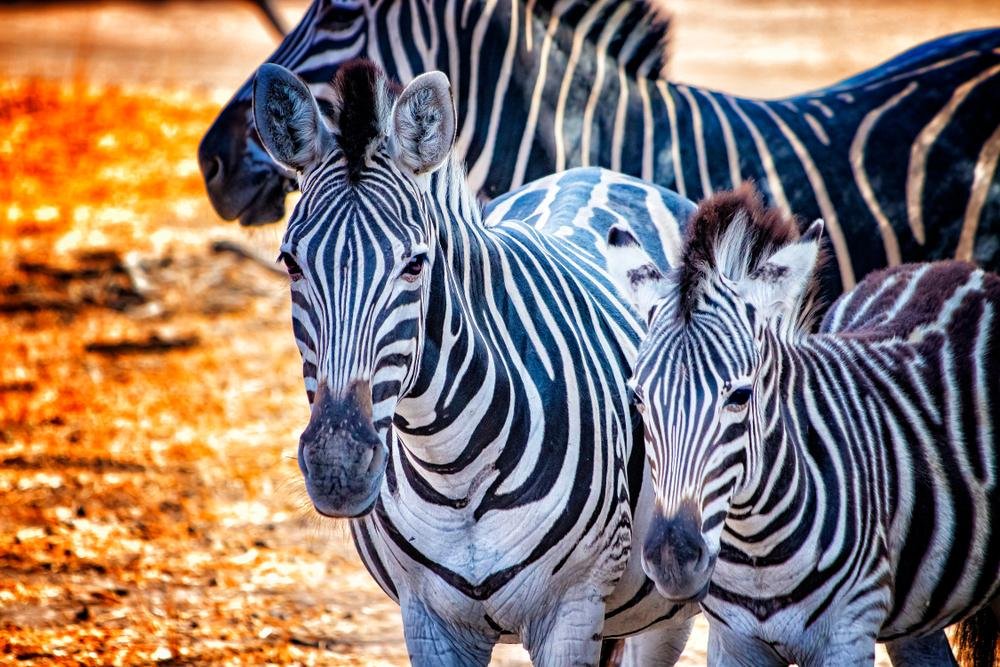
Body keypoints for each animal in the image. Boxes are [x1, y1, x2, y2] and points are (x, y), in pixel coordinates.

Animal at [250, 60, 704, 664]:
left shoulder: (573, 610)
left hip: (664, 609)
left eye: (415, 265)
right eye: (290, 263)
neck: (453, 467)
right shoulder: (428, 620)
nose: (337, 467)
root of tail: (602, 172)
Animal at [600, 184, 1000, 667]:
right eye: (638, 398)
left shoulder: (847, 634)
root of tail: (948, 266)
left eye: (740, 396)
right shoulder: (733, 642)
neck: (756, 552)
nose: (671, 561)